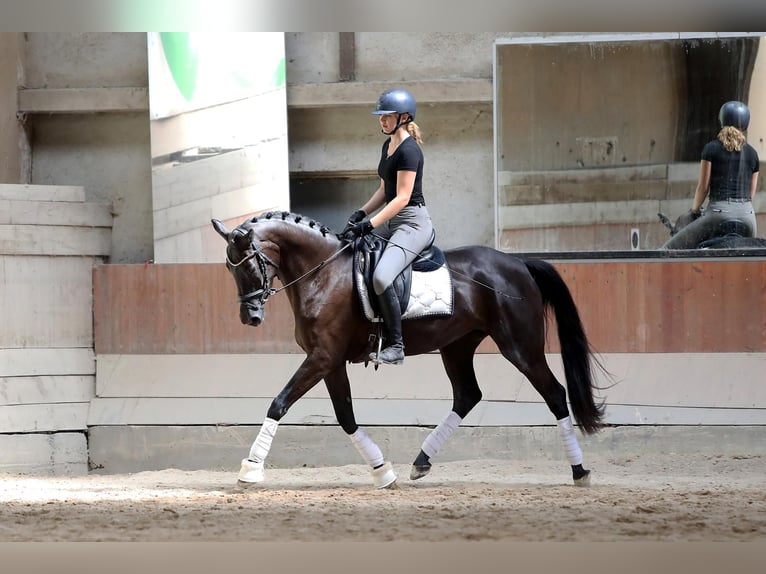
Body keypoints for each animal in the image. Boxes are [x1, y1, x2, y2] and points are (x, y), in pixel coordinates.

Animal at [210, 212, 608, 490]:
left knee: (554, 393)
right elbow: (346, 417)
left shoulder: (322, 358)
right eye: (229, 268)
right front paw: (382, 472)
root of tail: (519, 263)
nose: (250, 317)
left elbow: (279, 403)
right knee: (467, 395)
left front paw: (250, 470)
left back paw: (579, 471)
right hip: (457, 345)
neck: (322, 274)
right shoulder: (331, 362)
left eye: (249, 264)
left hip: (520, 347)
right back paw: (421, 461)